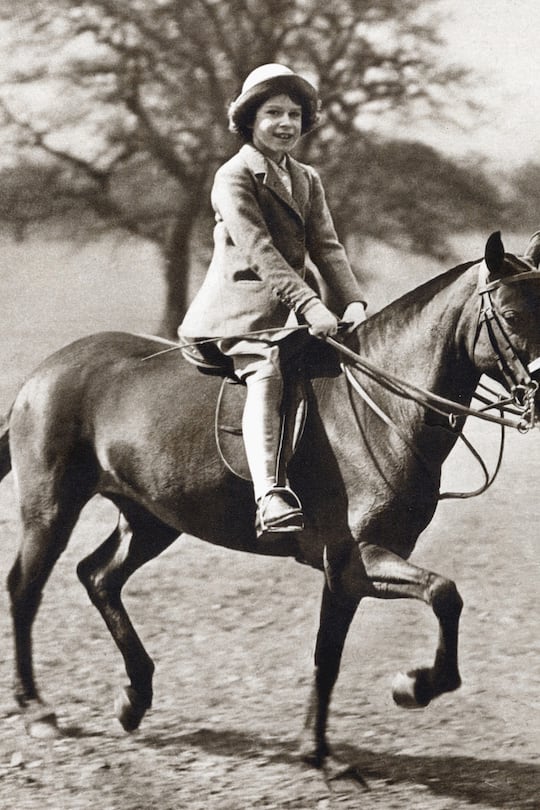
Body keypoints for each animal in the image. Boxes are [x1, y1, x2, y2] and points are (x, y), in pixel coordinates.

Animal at [1, 231, 539, 782]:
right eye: (511, 314)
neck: (385, 405)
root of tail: (42, 374)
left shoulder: (350, 572)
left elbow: (331, 654)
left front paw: (318, 750)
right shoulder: (356, 558)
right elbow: (442, 594)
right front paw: (411, 687)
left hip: (150, 519)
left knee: (99, 576)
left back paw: (135, 697)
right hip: (51, 510)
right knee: (26, 589)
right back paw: (37, 710)